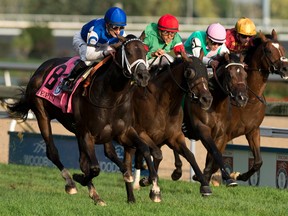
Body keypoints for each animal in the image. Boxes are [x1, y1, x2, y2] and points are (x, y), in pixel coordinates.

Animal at [6, 34, 162, 205]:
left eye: (145, 51)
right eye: (128, 52)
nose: (143, 76)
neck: (111, 97)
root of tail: (41, 68)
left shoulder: (123, 132)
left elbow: (145, 149)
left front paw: (153, 187)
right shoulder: (88, 134)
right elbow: (94, 168)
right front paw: (79, 179)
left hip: (81, 132)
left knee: (93, 158)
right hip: (42, 115)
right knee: (53, 152)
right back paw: (71, 183)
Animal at [178, 28, 288, 184]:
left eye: (282, 49)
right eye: (268, 50)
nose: (285, 69)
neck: (249, 101)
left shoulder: (252, 130)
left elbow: (258, 161)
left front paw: (239, 176)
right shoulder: (221, 134)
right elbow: (214, 159)